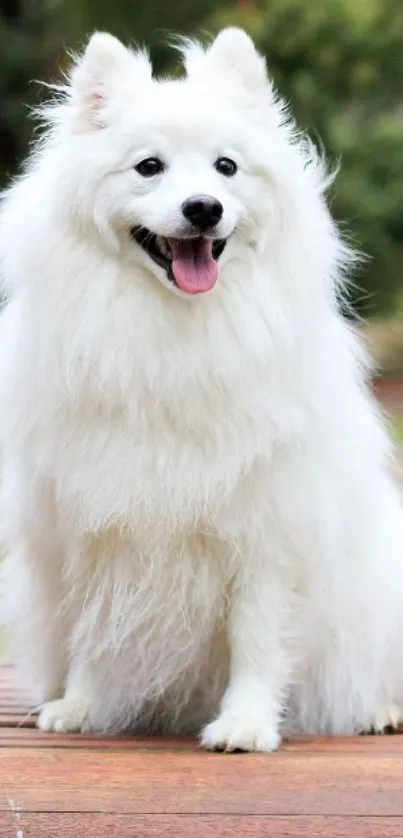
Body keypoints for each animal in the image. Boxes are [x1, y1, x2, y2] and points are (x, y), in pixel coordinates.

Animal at [0, 26, 403, 752]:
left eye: (226, 168)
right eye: (148, 167)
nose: (204, 209)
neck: (177, 332)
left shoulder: (266, 530)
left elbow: (256, 638)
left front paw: (245, 724)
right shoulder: (96, 525)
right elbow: (98, 630)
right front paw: (82, 705)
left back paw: (380, 709)